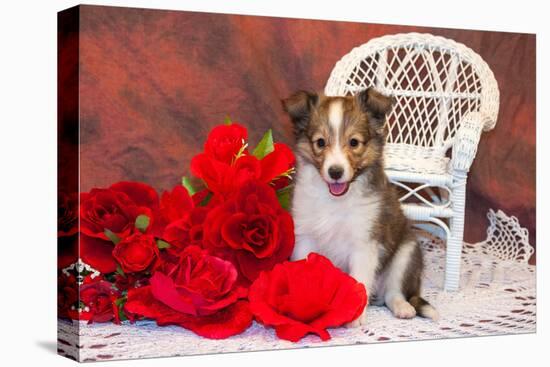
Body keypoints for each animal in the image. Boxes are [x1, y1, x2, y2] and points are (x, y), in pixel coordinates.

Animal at [284, 87, 440, 326]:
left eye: (354, 142)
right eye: (320, 142)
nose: (335, 172)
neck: (335, 201)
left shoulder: (365, 243)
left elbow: (358, 281)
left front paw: (355, 316)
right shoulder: (305, 237)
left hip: (406, 253)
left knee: (393, 292)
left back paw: (403, 308)